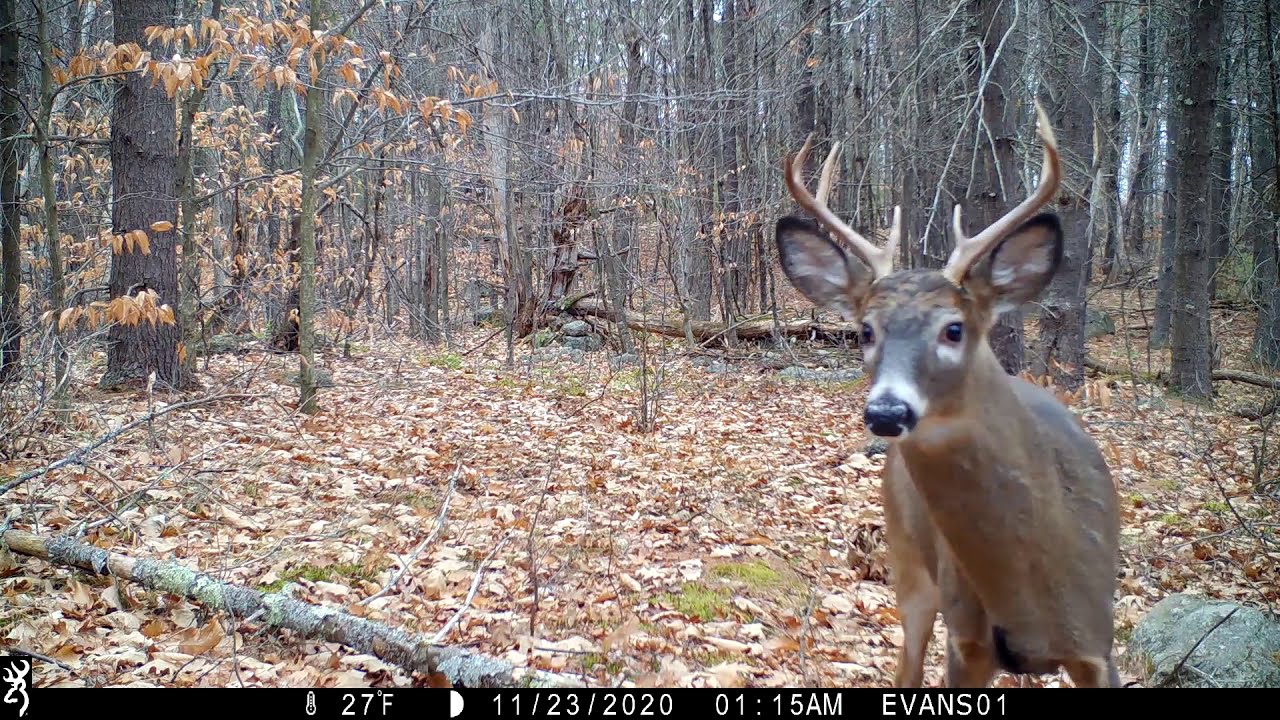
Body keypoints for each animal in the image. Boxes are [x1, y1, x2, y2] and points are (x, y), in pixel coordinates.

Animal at [772, 100, 1122, 688]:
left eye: (954, 329)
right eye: (865, 331)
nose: (887, 411)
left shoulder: (1098, 645)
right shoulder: (968, 639)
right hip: (910, 566)